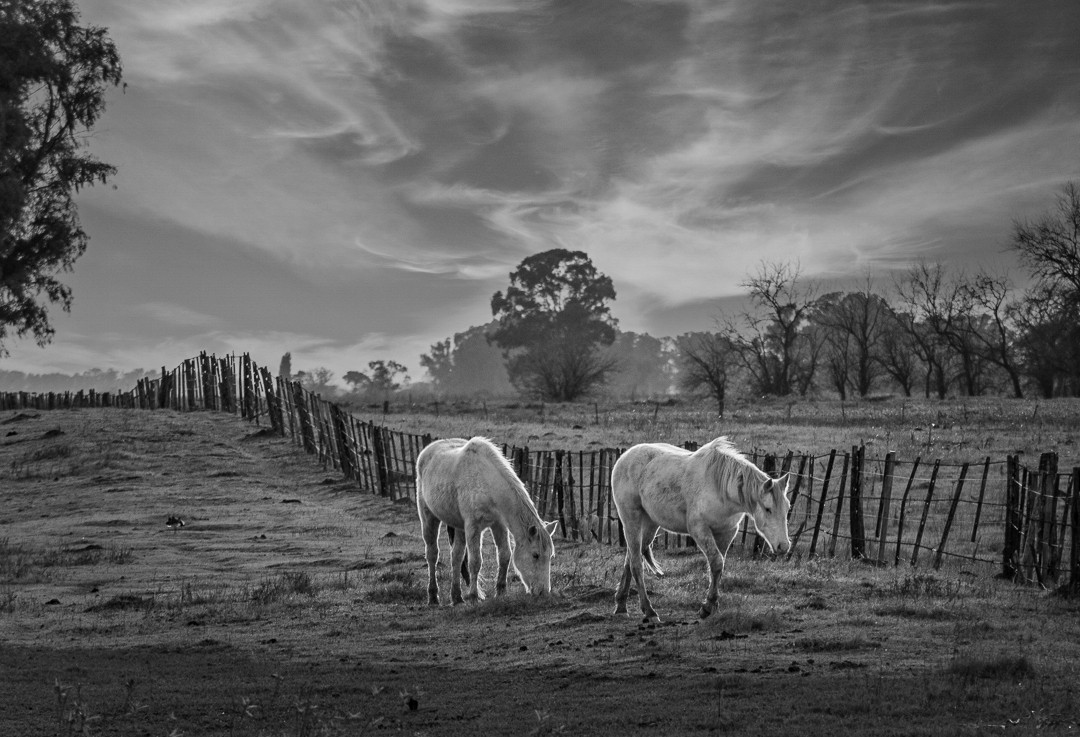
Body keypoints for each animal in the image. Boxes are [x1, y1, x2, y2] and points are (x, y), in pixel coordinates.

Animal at [416, 436, 557, 600]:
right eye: (535, 555)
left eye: (550, 556)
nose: (543, 592)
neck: (487, 482)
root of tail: (428, 450)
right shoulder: (473, 527)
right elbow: (475, 562)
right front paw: (473, 596)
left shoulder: (498, 525)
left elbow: (504, 555)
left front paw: (501, 592)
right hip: (428, 518)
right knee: (432, 554)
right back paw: (433, 596)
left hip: (459, 527)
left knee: (456, 557)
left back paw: (457, 597)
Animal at [609, 436, 794, 618]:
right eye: (768, 509)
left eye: (788, 508)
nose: (783, 546)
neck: (719, 489)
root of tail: (625, 457)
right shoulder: (699, 529)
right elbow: (716, 562)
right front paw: (708, 606)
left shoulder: (726, 532)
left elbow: (718, 566)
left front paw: (710, 606)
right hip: (631, 519)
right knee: (636, 564)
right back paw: (649, 611)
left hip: (650, 523)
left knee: (631, 558)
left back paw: (621, 605)